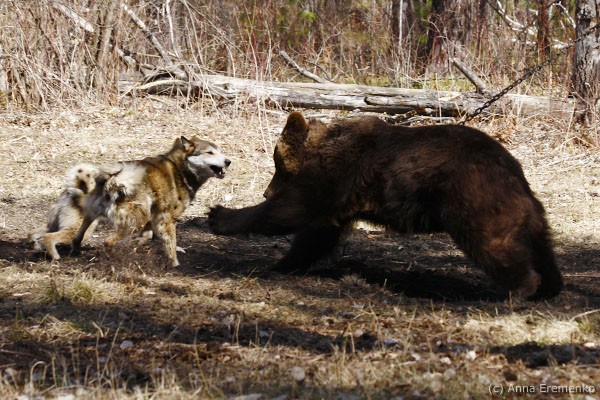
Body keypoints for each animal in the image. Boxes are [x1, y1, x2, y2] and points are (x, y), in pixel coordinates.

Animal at [209, 112, 563, 300]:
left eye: (278, 167)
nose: (266, 191)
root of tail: (513, 171)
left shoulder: (336, 173)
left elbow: (293, 210)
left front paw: (218, 215)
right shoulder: (341, 196)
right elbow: (316, 234)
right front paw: (286, 262)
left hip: (473, 198)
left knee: (494, 243)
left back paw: (519, 288)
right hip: (528, 211)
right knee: (542, 246)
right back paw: (550, 285)